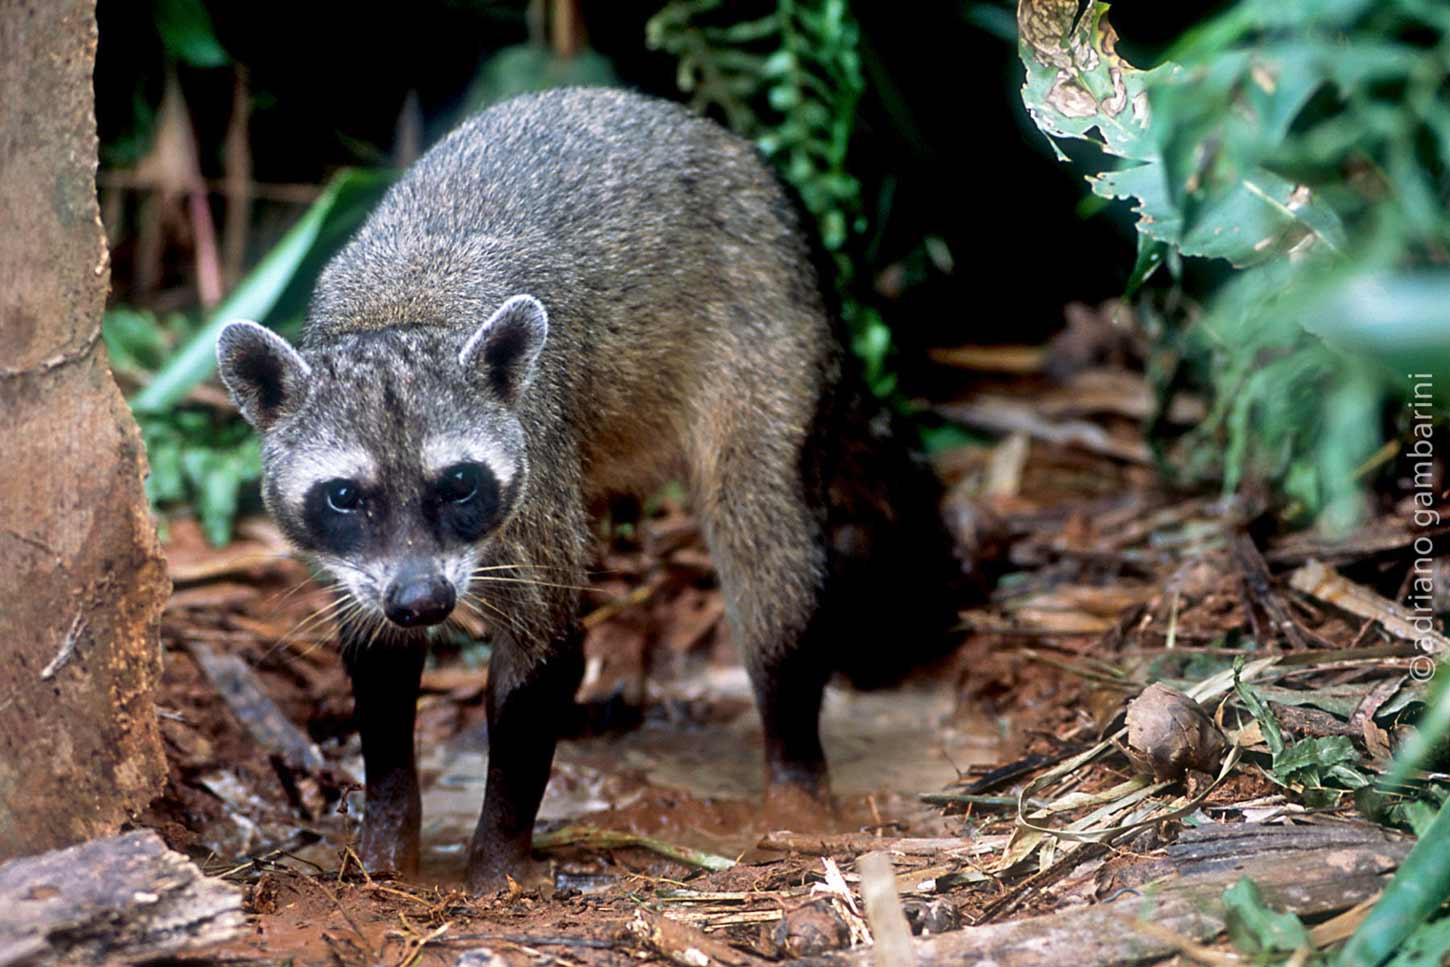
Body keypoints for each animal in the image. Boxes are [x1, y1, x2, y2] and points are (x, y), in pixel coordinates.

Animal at [217, 85, 962, 893]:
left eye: (459, 483)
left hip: (767, 342)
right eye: (345, 496)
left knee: (766, 549)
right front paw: (386, 831)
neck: (402, 315)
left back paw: (792, 749)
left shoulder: (534, 474)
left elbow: (537, 663)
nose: (423, 601)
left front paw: (499, 855)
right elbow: (379, 660)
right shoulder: (361, 562)